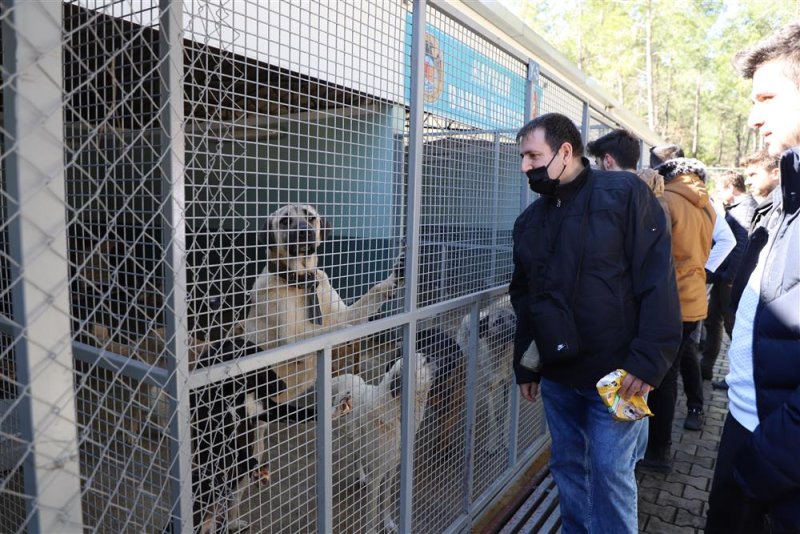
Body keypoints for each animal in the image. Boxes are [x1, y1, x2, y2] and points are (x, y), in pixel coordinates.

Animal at [330, 354, 434, 532]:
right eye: (424, 362)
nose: (437, 359)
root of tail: (347, 376)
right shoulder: (376, 477)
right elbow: (372, 515)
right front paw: (373, 530)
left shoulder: (391, 470)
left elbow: (386, 501)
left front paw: (388, 523)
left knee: (358, 456)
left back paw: (361, 477)